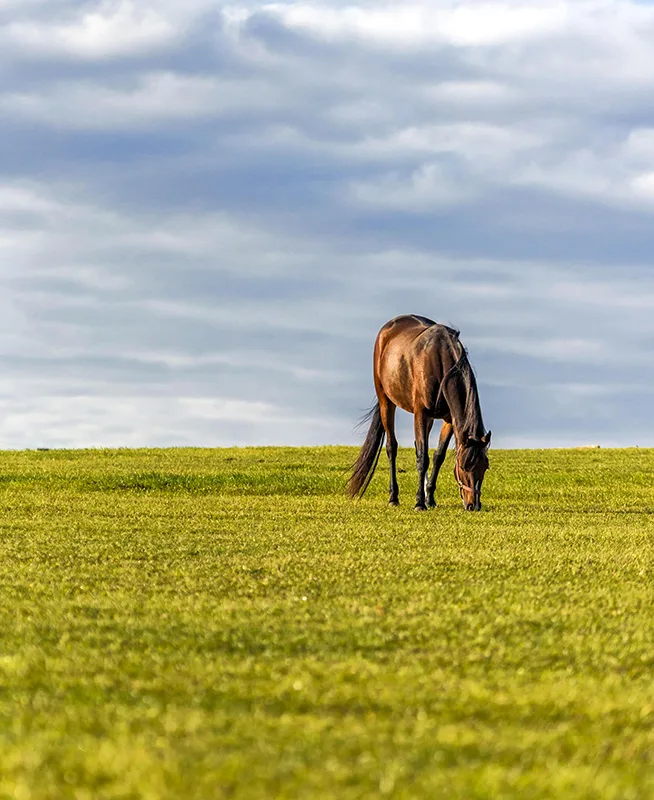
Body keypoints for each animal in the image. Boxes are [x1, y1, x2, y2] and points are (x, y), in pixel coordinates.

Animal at [348, 314, 492, 510]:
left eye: (485, 466)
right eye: (464, 466)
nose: (474, 505)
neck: (441, 363)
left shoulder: (449, 420)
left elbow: (438, 456)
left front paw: (429, 498)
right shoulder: (420, 414)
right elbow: (423, 458)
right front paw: (419, 503)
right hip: (387, 401)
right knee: (392, 447)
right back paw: (393, 497)